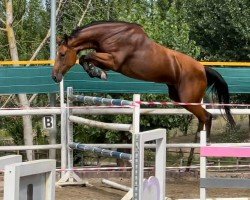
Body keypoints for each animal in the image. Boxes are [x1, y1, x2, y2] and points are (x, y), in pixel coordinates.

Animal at [51, 20, 235, 139]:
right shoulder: (107, 60)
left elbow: (86, 56)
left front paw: (97, 73)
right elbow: (85, 58)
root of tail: (202, 68)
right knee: (203, 118)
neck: (111, 35)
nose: (54, 77)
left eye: (62, 54)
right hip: (179, 98)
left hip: (189, 99)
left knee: (207, 117)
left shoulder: (113, 61)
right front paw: (96, 72)